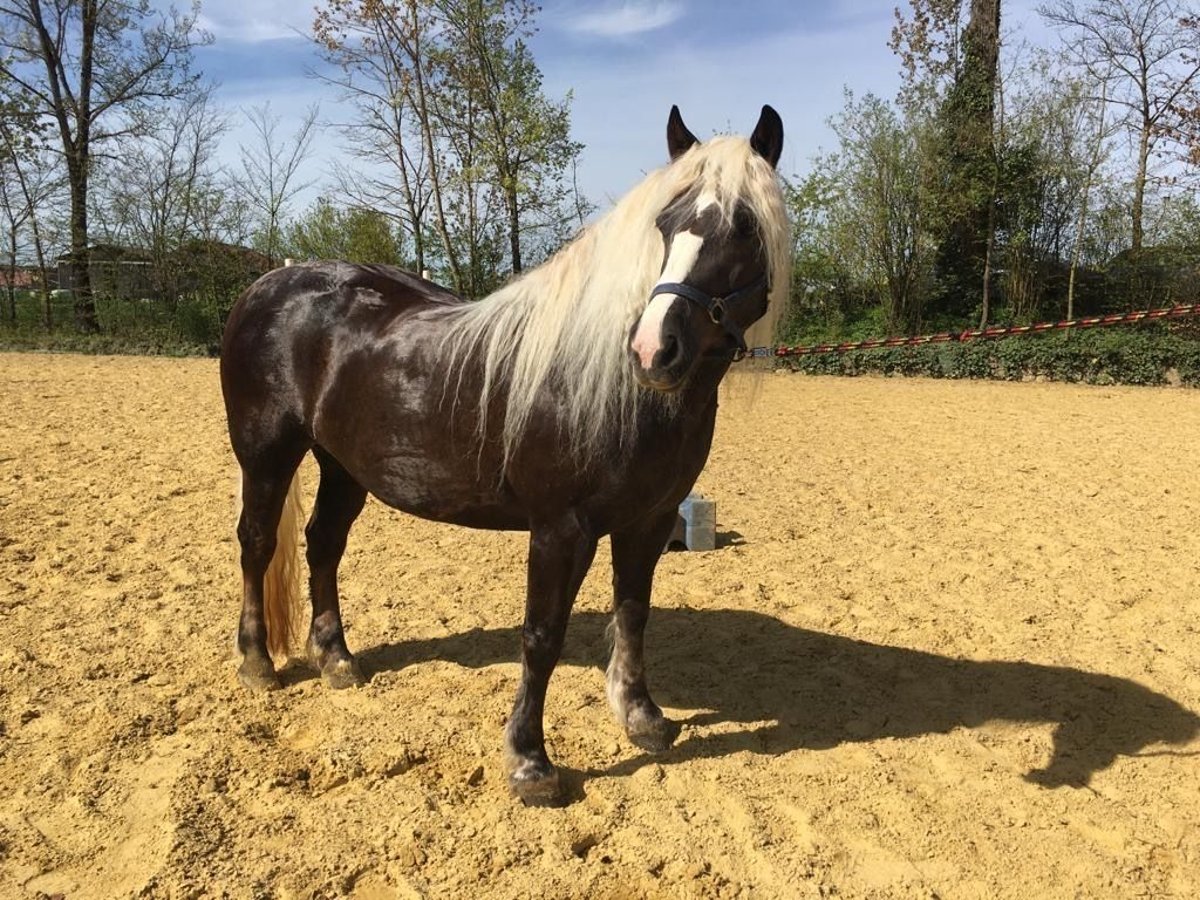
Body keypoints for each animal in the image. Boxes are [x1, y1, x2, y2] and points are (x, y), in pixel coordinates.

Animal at [220, 102, 792, 806]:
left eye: (744, 227)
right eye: (665, 223)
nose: (653, 350)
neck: (609, 386)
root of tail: (271, 282)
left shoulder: (650, 522)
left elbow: (634, 613)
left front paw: (643, 719)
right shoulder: (560, 530)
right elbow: (541, 637)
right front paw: (530, 763)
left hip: (342, 466)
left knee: (323, 543)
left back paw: (336, 659)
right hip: (266, 454)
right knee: (257, 542)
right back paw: (256, 663)